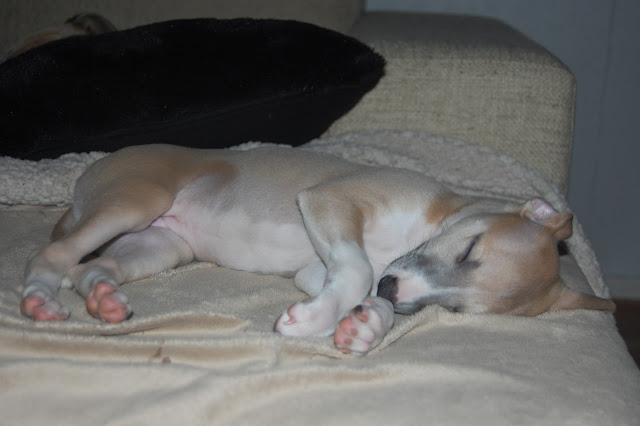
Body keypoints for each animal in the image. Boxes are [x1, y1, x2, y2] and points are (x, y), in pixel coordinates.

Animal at [21, 145, 615, 355]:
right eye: (470, 249)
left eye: (454, 308)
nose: (394, 288)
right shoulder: (333, 201)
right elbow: (356, 270)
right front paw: (314, 322)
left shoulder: (316, 265)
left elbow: (358, 283)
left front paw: (364, 326)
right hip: (136, 201)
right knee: (50, 259)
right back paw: (39, 303)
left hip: (159, 246)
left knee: (91, 268)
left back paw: (105, 303)